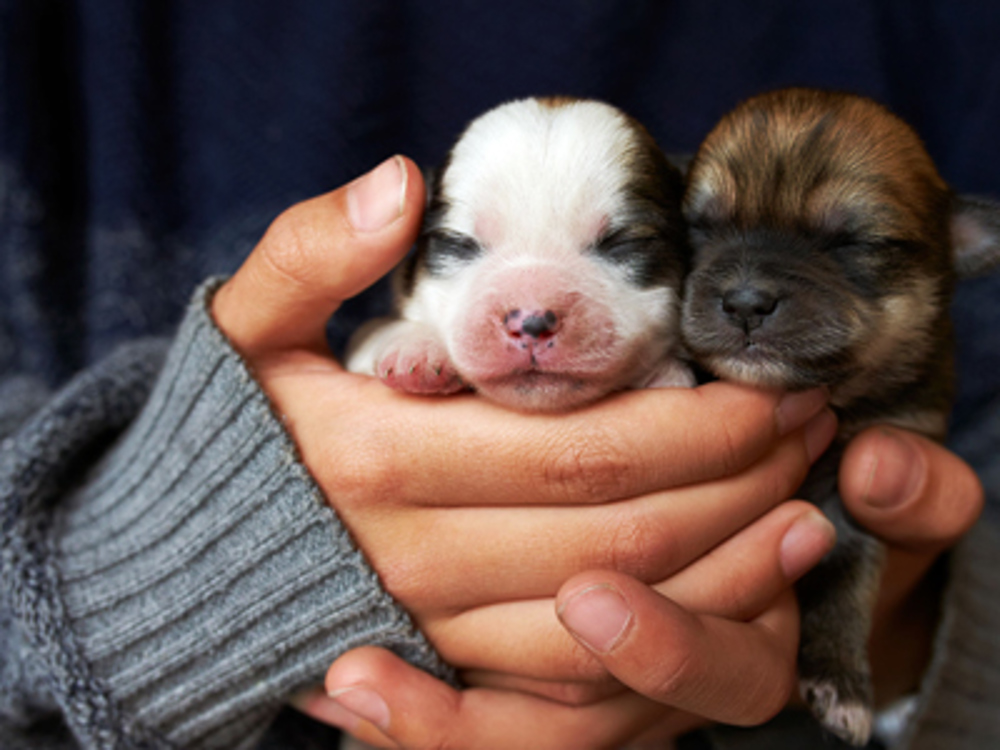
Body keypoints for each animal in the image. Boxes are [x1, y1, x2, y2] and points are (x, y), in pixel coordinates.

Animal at [680, 88, 1000, 748]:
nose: (744, 302)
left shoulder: (865, 472)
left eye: (852, 242)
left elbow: (849, 577)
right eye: (701, 227)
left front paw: (842, 687)